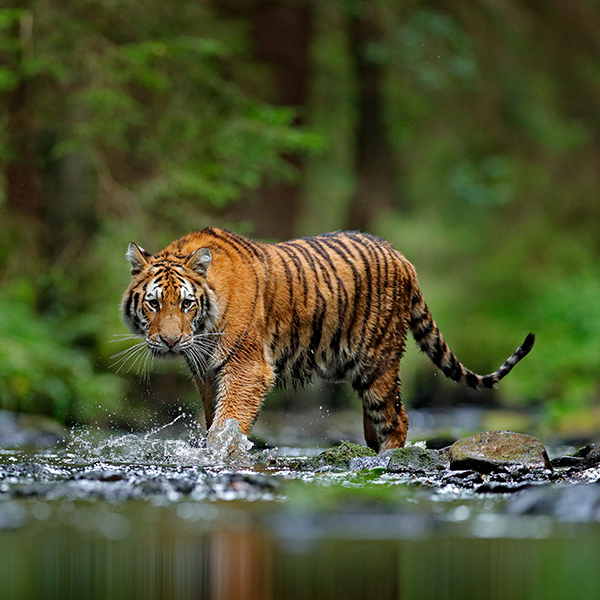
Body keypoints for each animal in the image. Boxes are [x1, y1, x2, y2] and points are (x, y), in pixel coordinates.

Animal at [120, 227, 536, 452]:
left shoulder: (246, 368)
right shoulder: (206, 373)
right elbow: (214, 420)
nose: (170, 342)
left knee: (396, 418)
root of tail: (403, 258)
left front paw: (220, 454)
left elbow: (227, 423)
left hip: (378, 362)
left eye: (186, 303)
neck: (203, 330)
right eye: (154, 303)